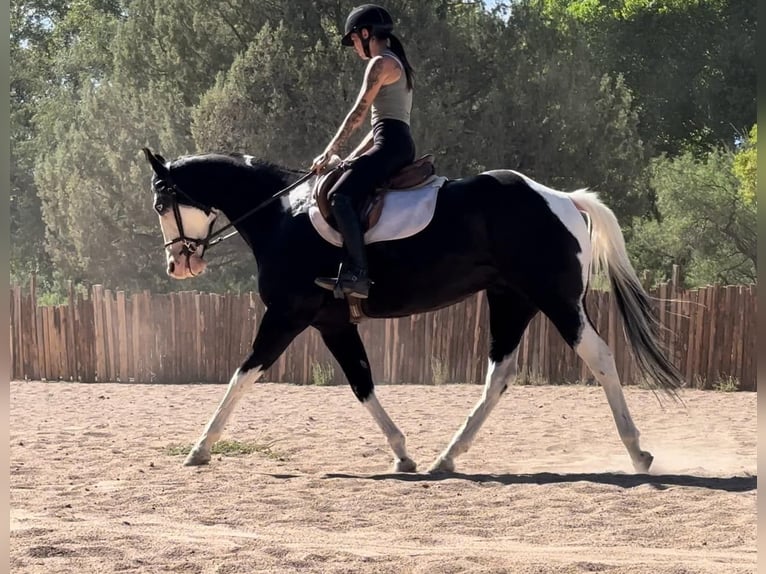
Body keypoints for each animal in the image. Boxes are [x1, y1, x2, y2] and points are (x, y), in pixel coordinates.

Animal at [141, 147, 682, 474]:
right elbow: (362, 383)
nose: (178, 263)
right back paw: (447, 457)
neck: (280, 216)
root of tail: (561, 199)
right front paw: (403, 453)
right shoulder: (331, 322)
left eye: (161, 204)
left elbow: (243, 374)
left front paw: (199, 448)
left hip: (557, 301)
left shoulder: (288, 315)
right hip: (512, 300)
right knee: (499, 376)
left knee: (600, 358)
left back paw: (638, 452)